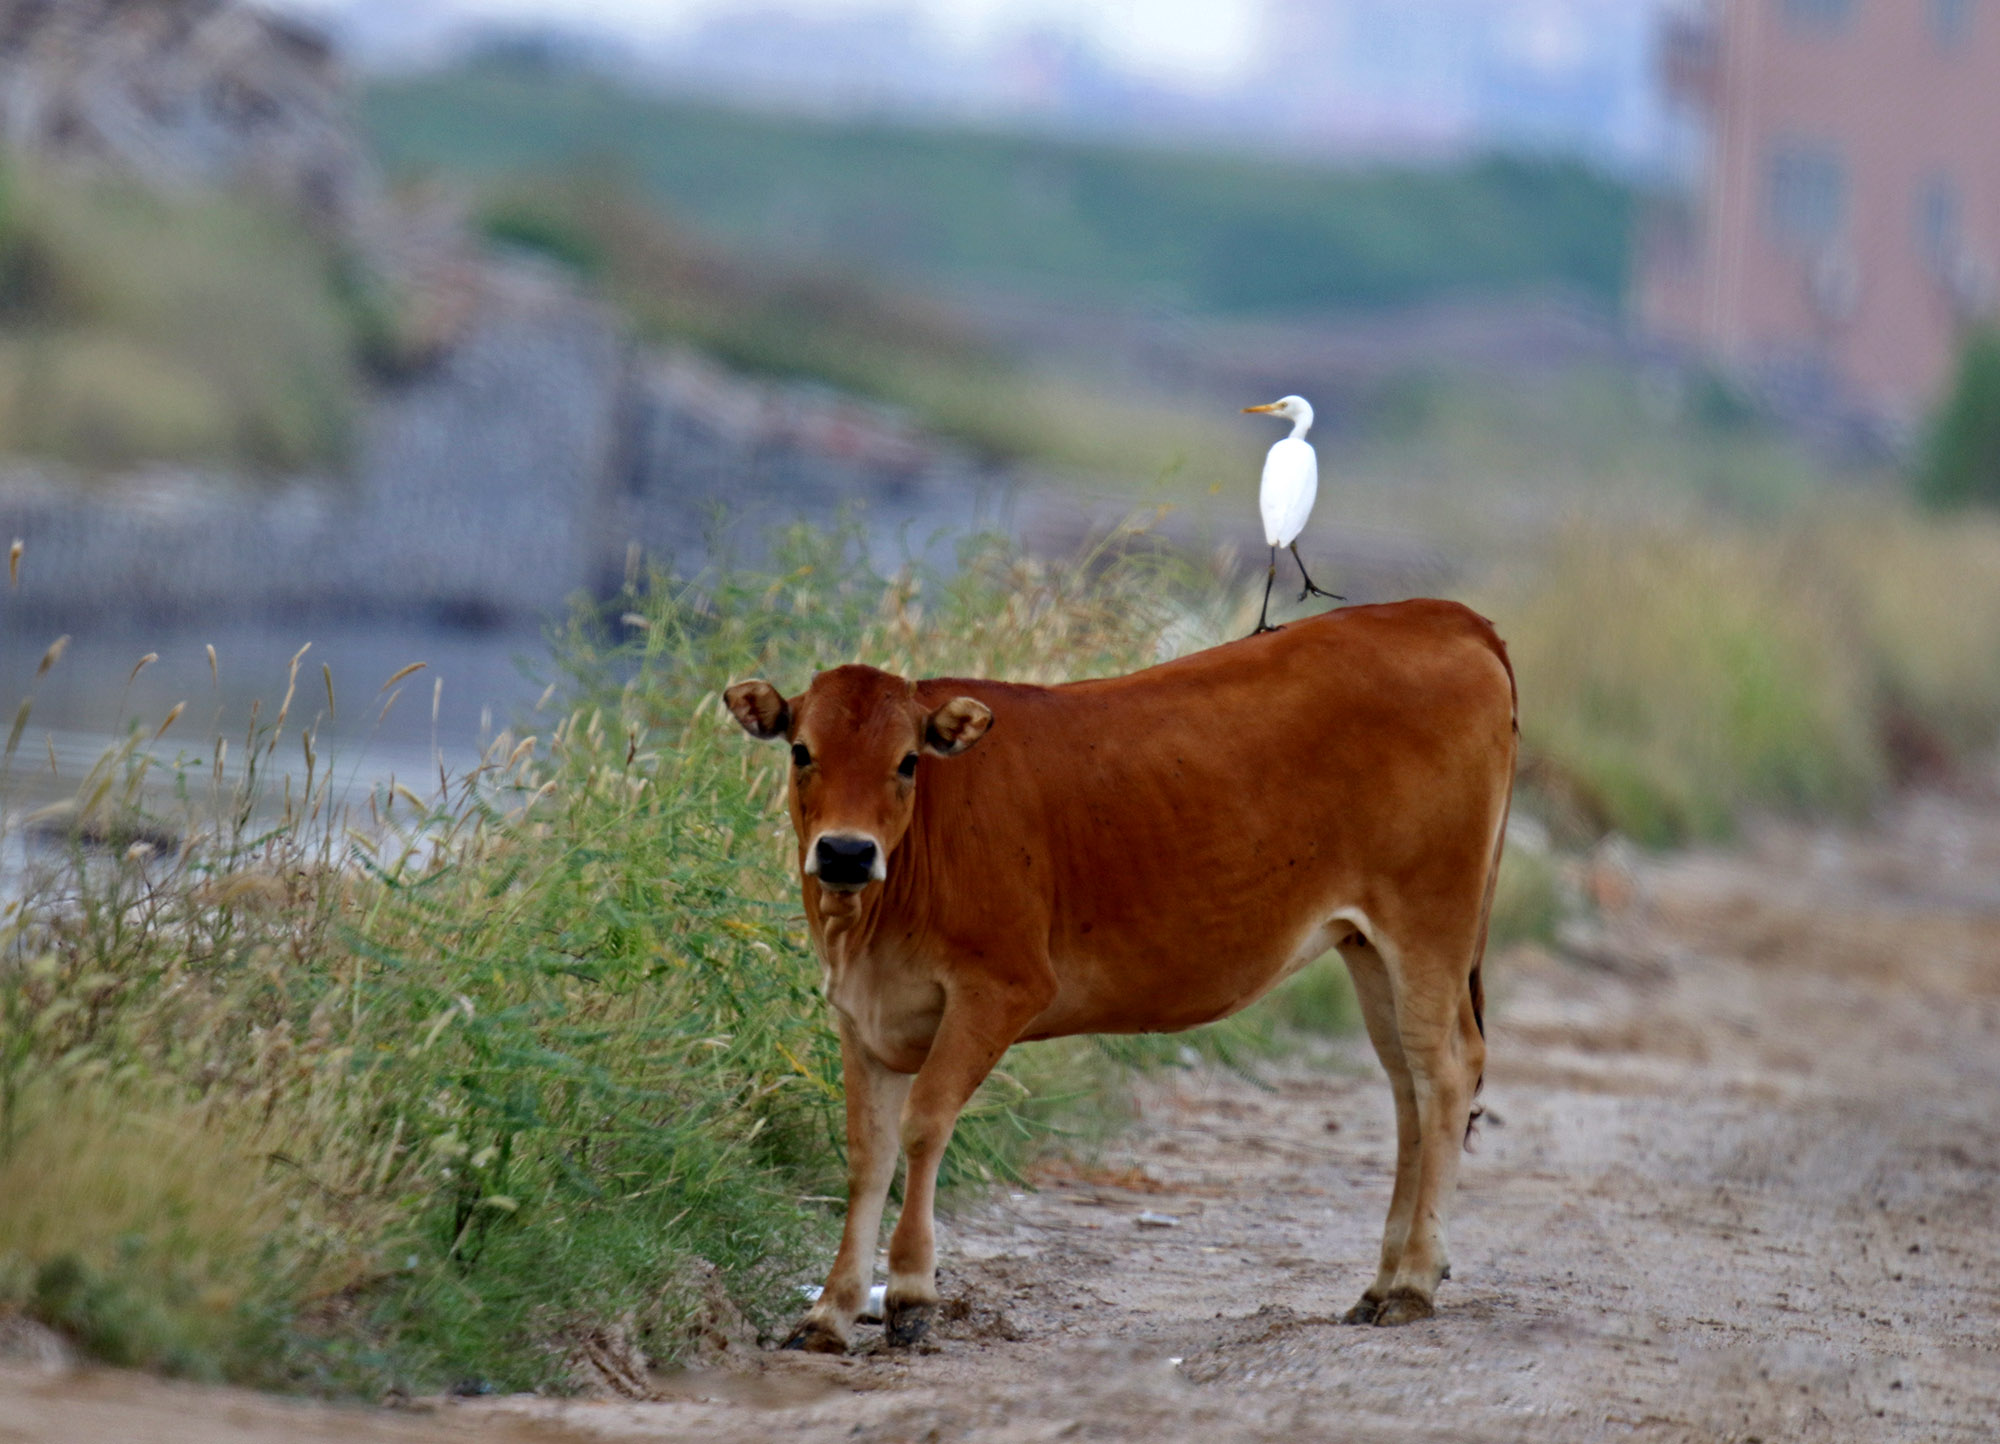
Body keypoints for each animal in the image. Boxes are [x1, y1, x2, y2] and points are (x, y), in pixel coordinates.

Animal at [728, 600, 1520, 1352]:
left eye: (908, 762)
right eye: (802, 751)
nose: (846, 853)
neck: (872, 924)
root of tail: (1441, 614)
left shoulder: (1001, 987)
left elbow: (925, 1126)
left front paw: (912, 1297)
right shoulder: (861, 1012)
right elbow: (866, 1156)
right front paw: (829, 1314)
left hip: (1429, 921)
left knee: (1447, 1071)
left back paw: (1414, 1282)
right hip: (1369, 945)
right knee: (1407, 1089)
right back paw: (1381, 1285)